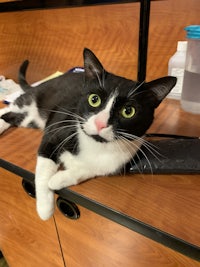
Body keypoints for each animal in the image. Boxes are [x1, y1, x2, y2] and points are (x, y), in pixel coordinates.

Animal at [0, 49, 177, 221]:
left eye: (128, 111)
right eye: (94, 99)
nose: (100, 123)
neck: (96, 144)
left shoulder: (118, 159)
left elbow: (90, 169)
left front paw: (58, 180)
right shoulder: (56, 129)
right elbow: (44, 164)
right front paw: (45, 208)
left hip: (31, 120)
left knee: (14, 117)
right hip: (32, 100)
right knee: (10, 108)